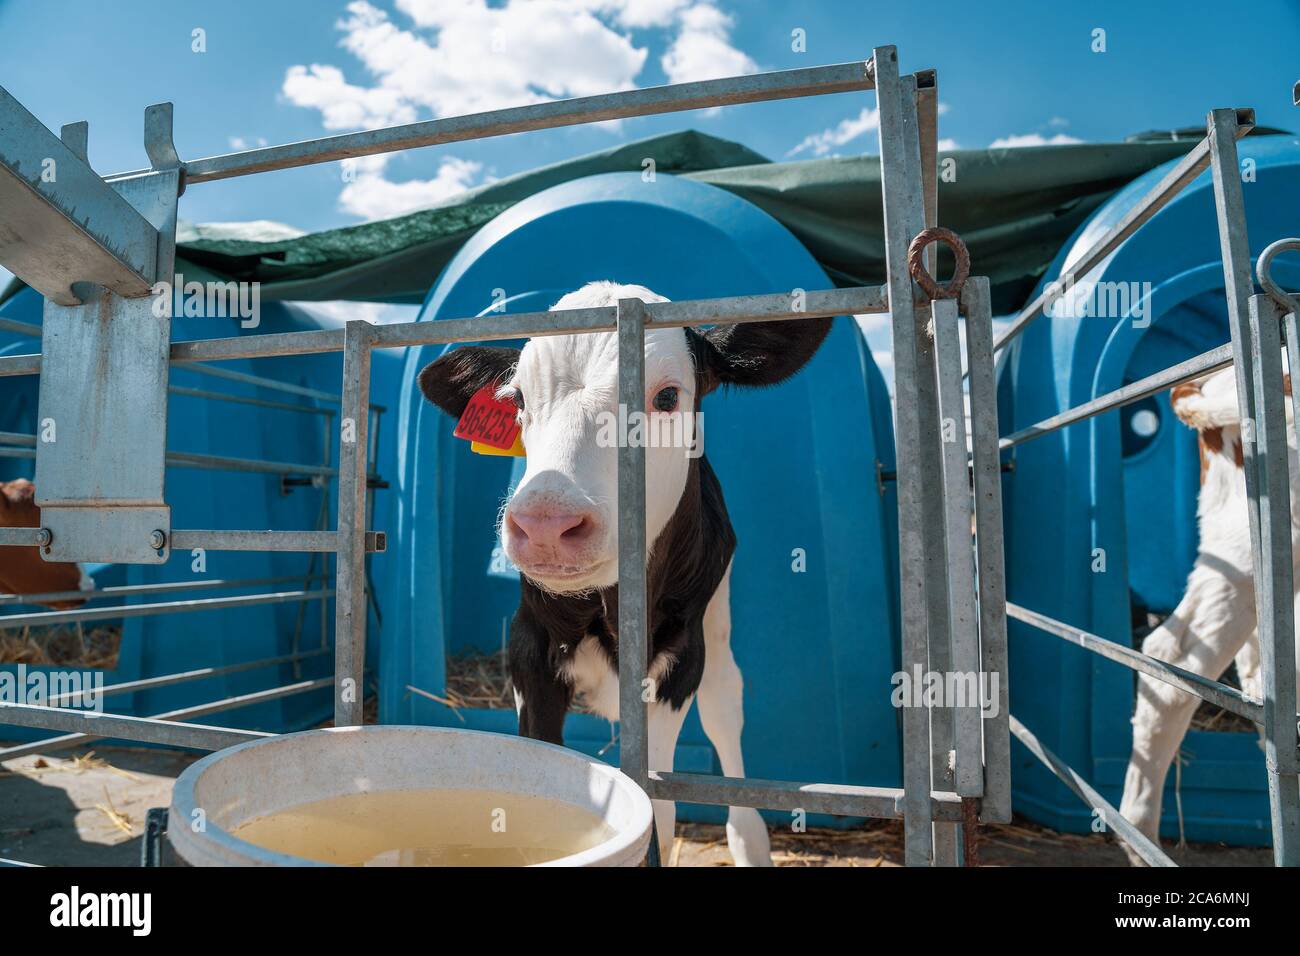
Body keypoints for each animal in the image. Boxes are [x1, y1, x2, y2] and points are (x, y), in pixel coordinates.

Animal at [416, 278, 826, 868]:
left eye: (667, 398)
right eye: (518, 401)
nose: (546, 523)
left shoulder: (679, 657)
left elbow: (660, 810)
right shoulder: (528, 645)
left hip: (717, 623)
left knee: (726, 704)